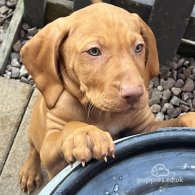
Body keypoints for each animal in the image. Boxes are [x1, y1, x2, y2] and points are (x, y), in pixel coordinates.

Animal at [18, 1, 195, 193]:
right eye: (94, 51)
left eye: (138, 47)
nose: (135, 94)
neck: (104, 114)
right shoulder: (53, 155)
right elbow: (68, 128)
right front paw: (84, 134)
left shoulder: (145, 129)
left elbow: (174, 122)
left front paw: (191, 119)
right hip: (35, 130)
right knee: (33, 149)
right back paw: (29, 172)